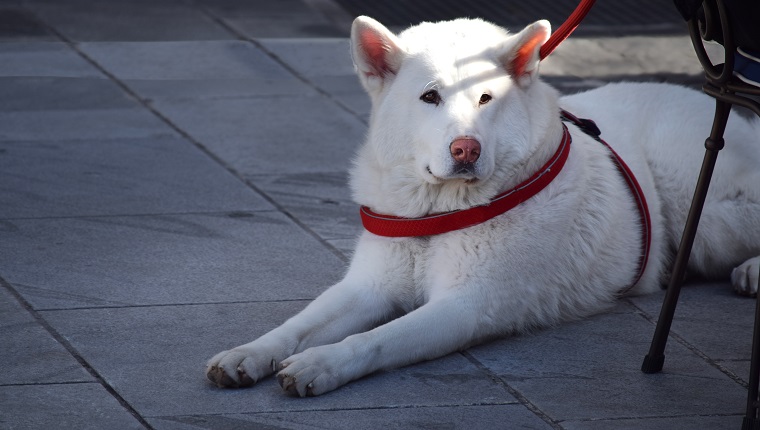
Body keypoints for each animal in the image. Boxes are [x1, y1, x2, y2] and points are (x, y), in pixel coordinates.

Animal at [205, 15, 760, 396]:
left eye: (486, 99)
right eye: (430, 97)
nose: (465, 150)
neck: (438, 213)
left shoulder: (465, 307)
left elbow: (376, 340)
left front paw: (320, 364)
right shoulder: (367, 287)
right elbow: (296, 325)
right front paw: (249, 354)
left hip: (705, 222)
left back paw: (750, 270)